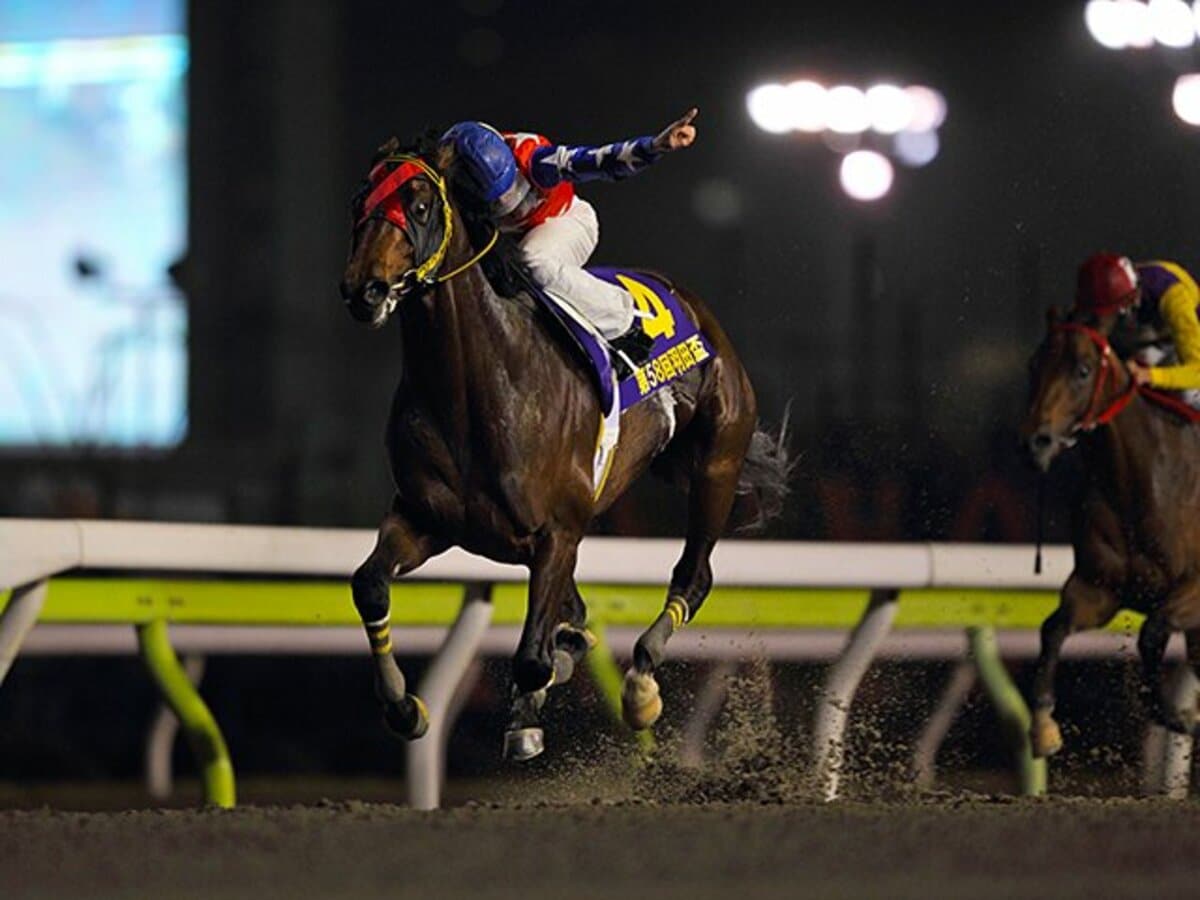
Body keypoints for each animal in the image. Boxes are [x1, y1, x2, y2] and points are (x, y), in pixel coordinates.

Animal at [338, 132, 787, 753]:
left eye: (421, 205)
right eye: (361, 200)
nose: (365, 289)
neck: (477, 387)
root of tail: (691, 303)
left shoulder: (558, 532)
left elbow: (532, 656)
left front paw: (528, 715)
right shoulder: (428, 519)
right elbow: (370, 587)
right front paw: (406, 707)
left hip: (717, 462)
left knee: (694, 576)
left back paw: (641, 685)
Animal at [1027, 307, 1200, 758]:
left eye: (1083, 370)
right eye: (1033, 365)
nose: (1037, 440)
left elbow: (1153, 632)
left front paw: (1177, 715)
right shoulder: (1098, 587)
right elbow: (1053, 629)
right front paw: (1043, 727)